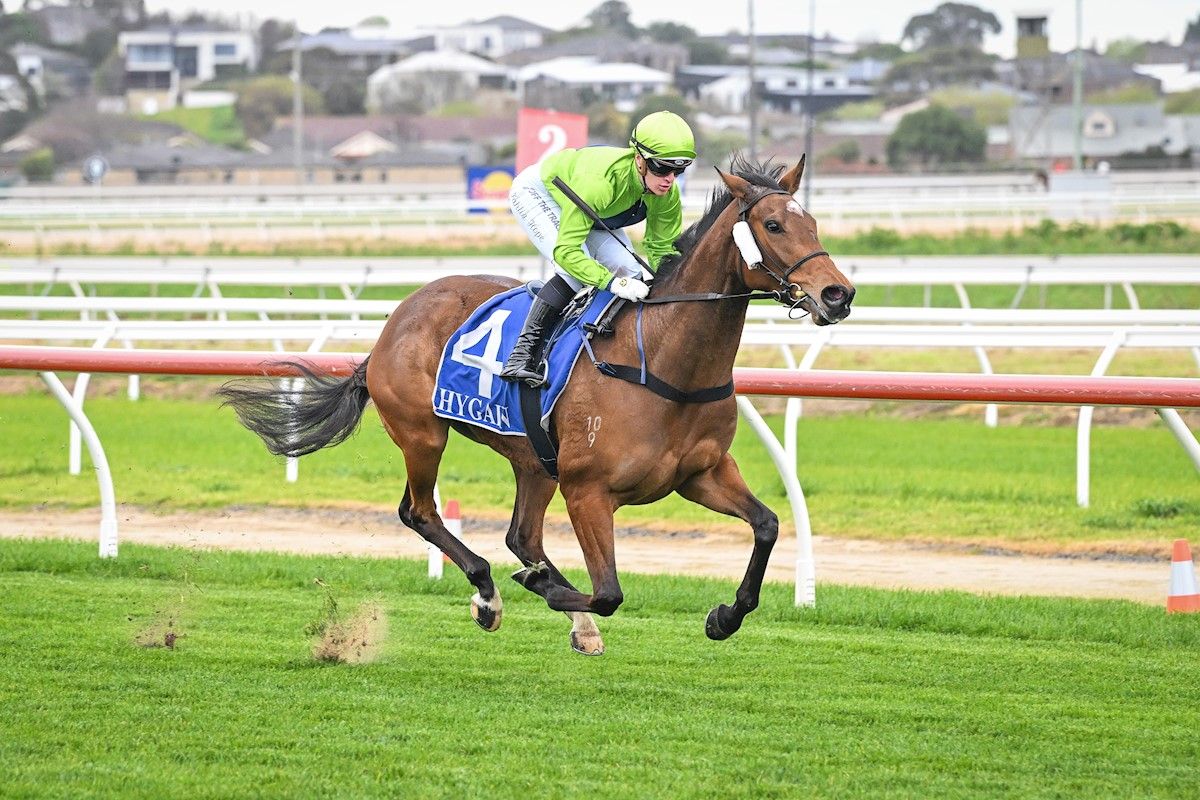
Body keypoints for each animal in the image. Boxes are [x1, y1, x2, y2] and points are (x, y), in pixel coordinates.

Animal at [216, 158, 854, 657]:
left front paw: (724, 616)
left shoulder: (702, 474)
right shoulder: (588, 490)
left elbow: (768, 525)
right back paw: (491, 594)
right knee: (420, 513)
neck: (664, 362)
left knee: (521, 536)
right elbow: (610, 592)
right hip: (424, 435)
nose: (838, 294)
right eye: (772, 224)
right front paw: (543, 590)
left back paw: (557, 608)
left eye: (812, 221)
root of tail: (394, 321)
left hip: (533, 459)